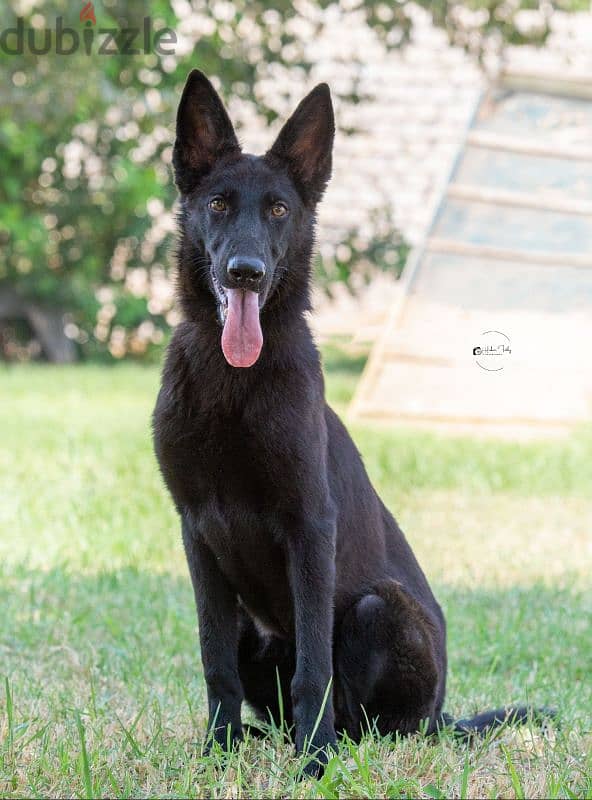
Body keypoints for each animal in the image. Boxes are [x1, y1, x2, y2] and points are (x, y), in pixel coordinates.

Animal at [154, 70, 552, 776]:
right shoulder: (197, 532)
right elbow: (213, 660)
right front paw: (217, 752)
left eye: (279, 210)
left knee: (375, 721)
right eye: (219, 204)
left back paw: (332, 742)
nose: (246, 273)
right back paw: (261, 738)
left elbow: (314, 667)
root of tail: (444, 717)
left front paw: (313, 764)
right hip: (256, 625)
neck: (233, 385)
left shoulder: (311, 527)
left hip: (377, 610)